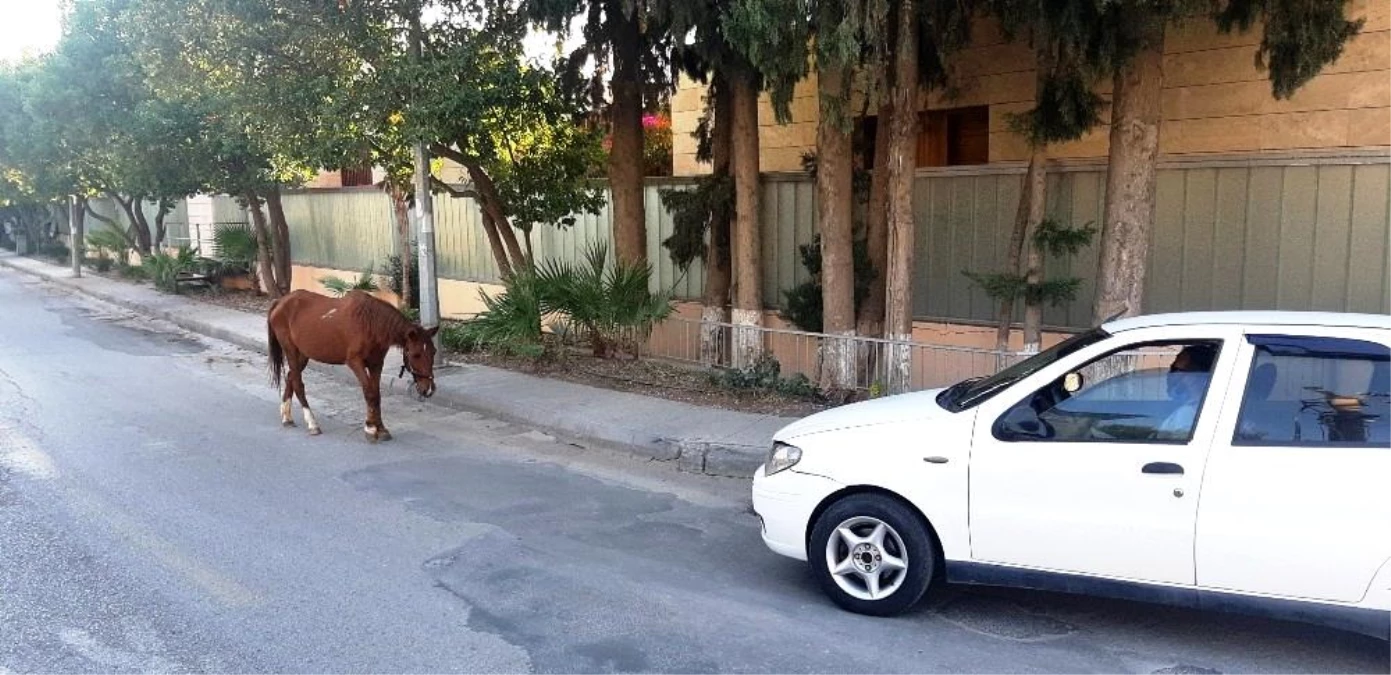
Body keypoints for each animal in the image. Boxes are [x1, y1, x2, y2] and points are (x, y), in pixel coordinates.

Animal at [268, 286, 436, 439]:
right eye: (416, 355)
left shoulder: (376, 364)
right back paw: (312, 423)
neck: (370, 323)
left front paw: (380, 428)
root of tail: (280, 302)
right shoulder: (355, 363)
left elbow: (376, 394)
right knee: (298, 383)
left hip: (303, 355)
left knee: (291, 377)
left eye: (433, 352)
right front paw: (370, 428)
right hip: (290, 350)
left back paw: (287, 417)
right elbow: (369, 393)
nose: (428, 389)